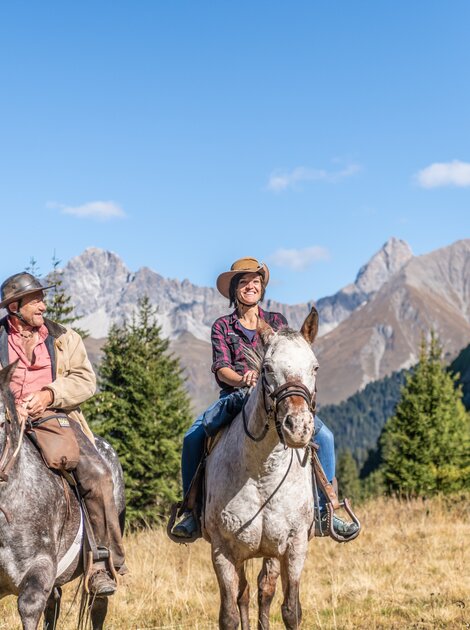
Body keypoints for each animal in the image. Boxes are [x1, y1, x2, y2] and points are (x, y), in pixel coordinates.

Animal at [203, 308, 320, 628]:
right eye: (267, 368)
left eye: (315, 368)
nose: (298, 427)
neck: (261, 472)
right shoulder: (223, 551)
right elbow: (229, 614)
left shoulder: (294, 547)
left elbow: (291, 609)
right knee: (244, 594)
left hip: (270, 552)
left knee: (263, 591)